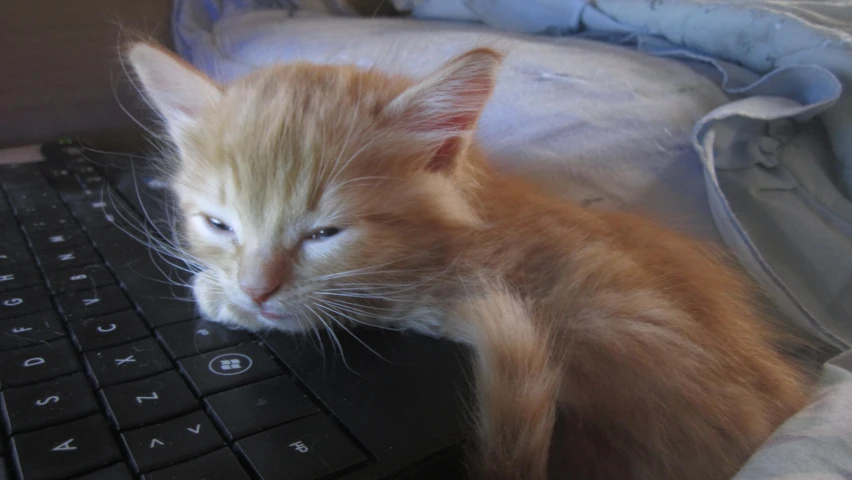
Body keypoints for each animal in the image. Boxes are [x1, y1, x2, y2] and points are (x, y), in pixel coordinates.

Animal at [128, 43, 812, 478]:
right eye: (218, 224)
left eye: (325, 233)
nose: (256, 289)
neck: (476, 219)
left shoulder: (478, 293)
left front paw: (226, 299)